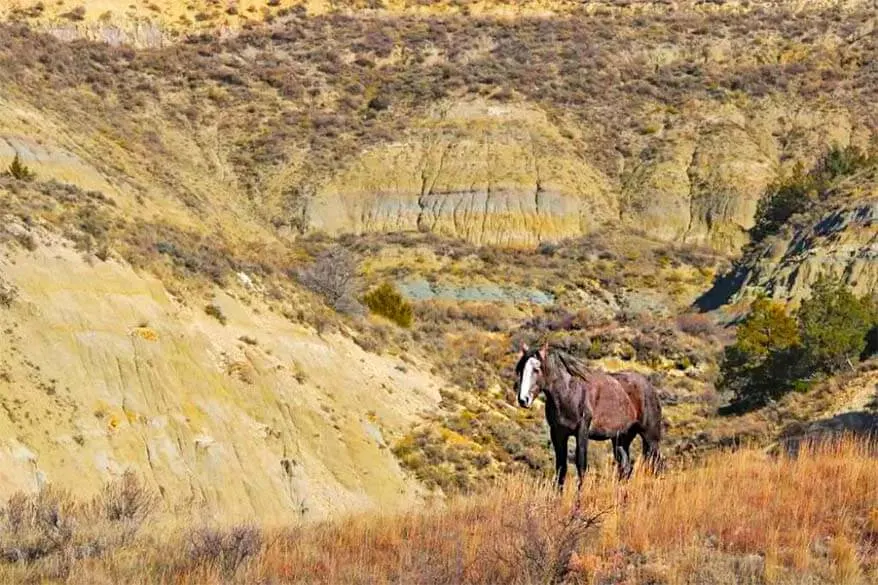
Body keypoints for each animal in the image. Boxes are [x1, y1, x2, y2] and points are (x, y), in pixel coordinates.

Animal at [512, 342, 664, 488]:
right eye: (520, 369)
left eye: (536, 369)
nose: (523, 399)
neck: (570, 393)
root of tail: (649, 387)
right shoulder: (558, 434)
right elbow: (561, 468)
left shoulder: (582, 432)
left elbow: (581, 467)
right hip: (621, 439)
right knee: (625, 469)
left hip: (650, 438)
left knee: (654, 465)